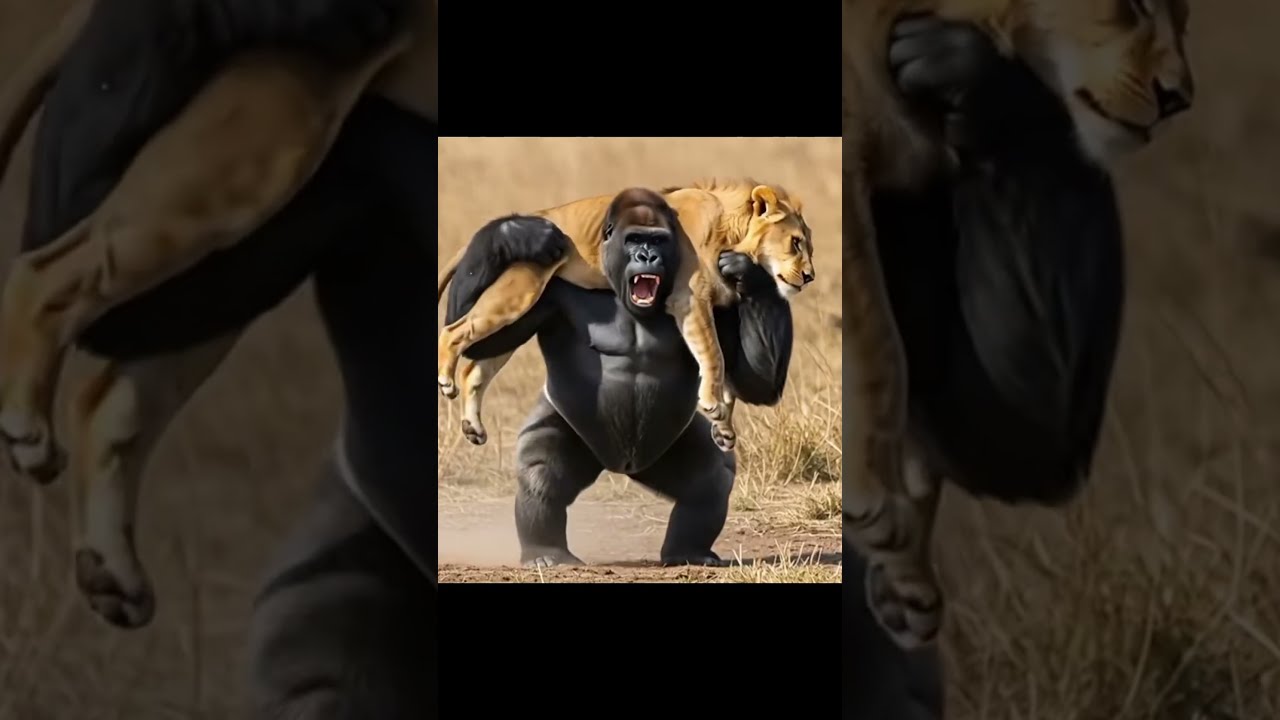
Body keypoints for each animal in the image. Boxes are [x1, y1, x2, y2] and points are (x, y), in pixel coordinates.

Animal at [435, 179, 815, 452]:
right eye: (796, 243)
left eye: (808, 246)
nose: (810, 276)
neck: (728, 230)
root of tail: (540, 213)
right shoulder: (689, 299)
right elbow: (714, 356)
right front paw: (710, 405)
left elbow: (732, 377)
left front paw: (723, 425)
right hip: (518, 293)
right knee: (453, 332)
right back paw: (445, 380)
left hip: (519, 311)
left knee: (475, 368)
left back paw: (472, 426)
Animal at [841, 0, 1194, 650]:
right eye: (1131, 6)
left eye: (1185, 19)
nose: (1179, 98)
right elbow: (882, 352)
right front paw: (872, 501)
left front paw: (907, 576)